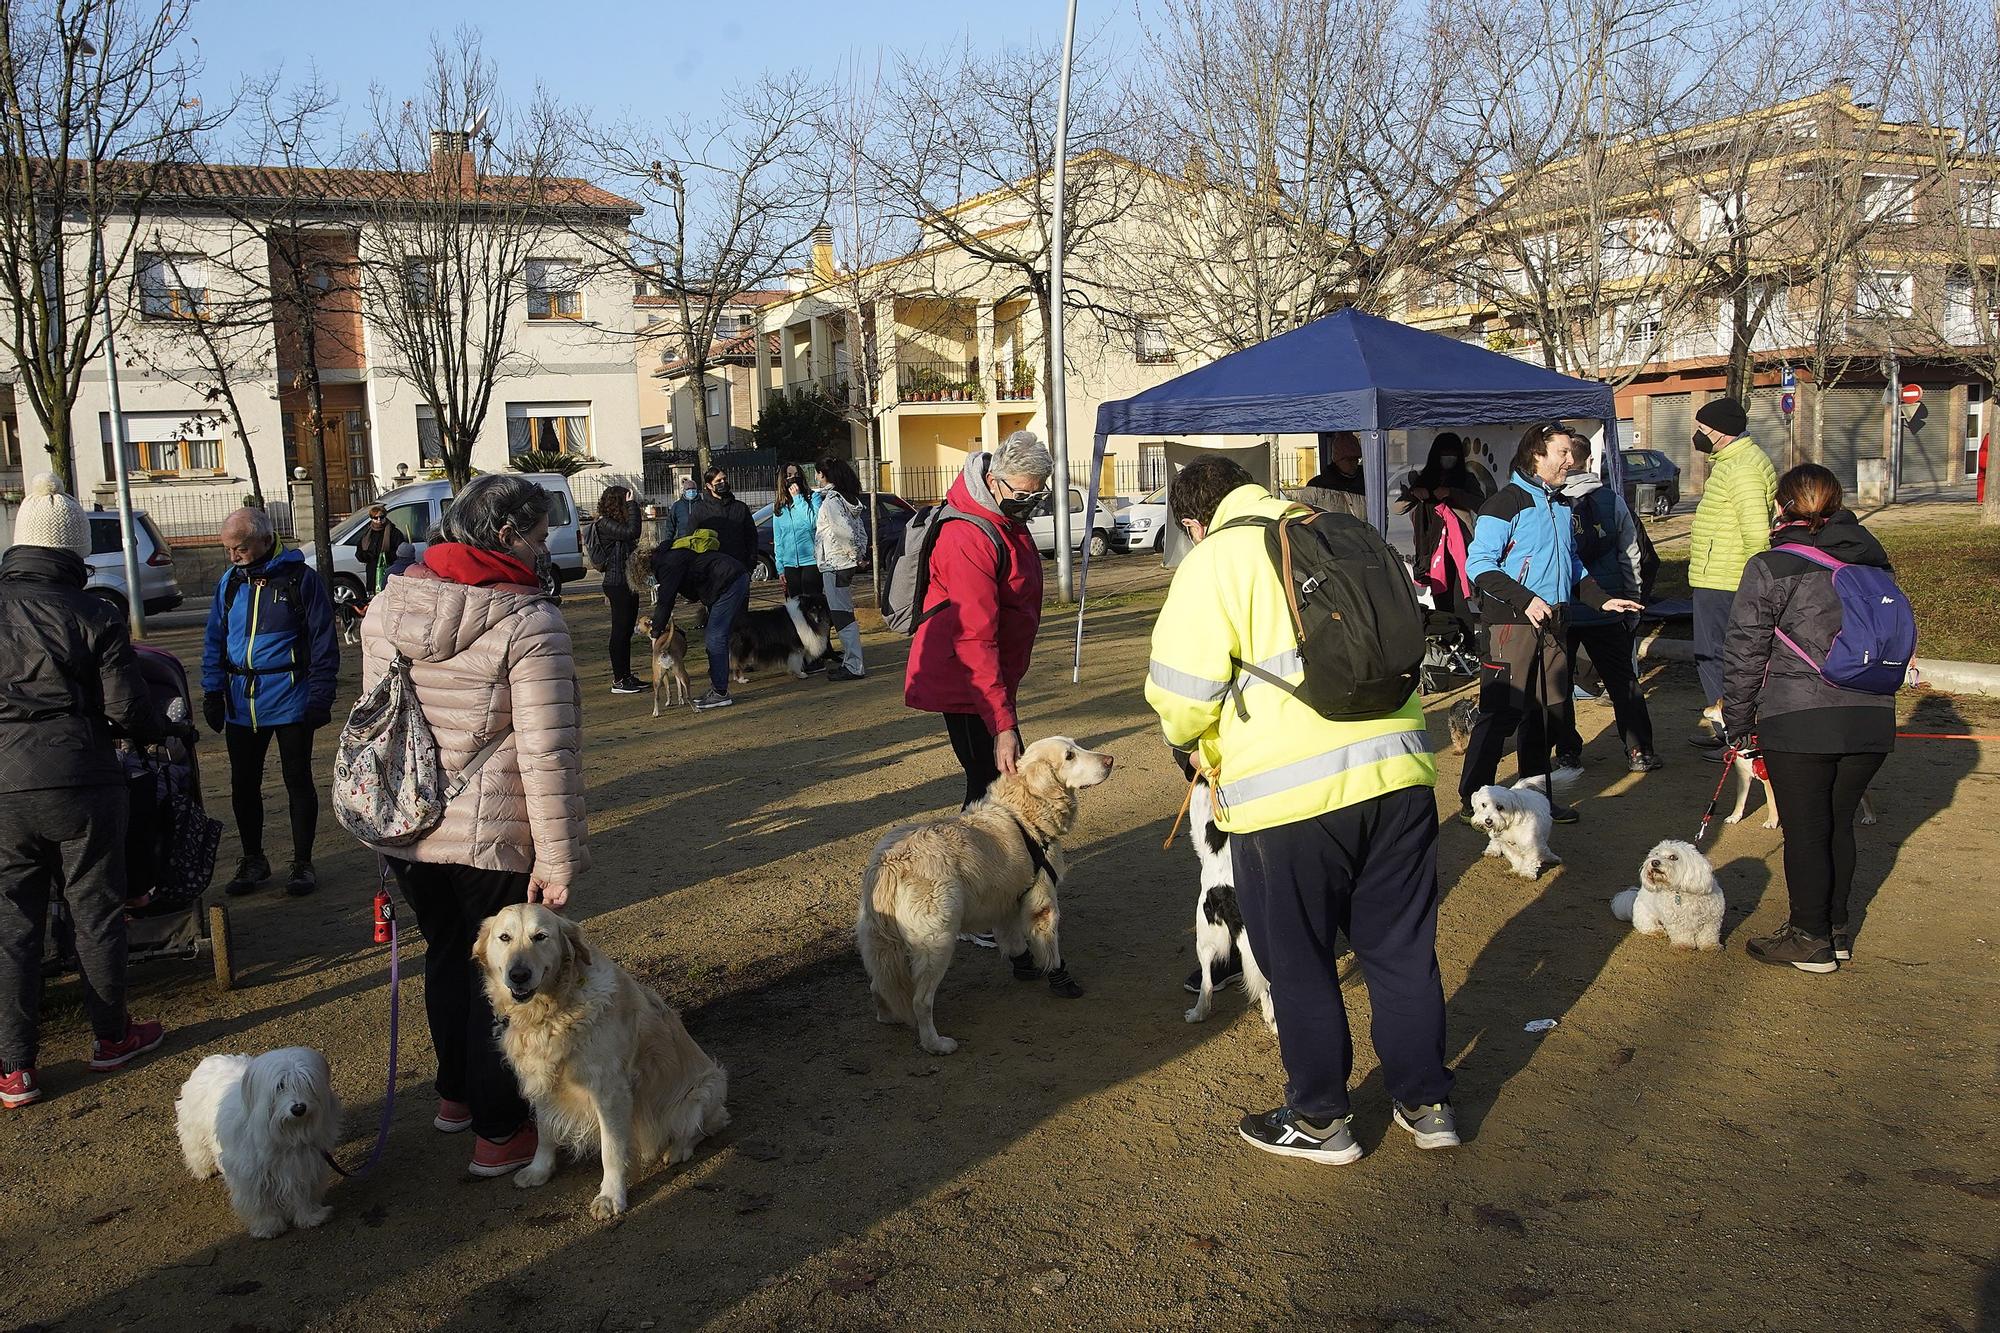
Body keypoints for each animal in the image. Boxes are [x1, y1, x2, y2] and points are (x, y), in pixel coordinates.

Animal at [178, 1040, 342, 1232]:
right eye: (280, 1086)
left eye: (307, 1082)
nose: (299, 1108)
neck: (287, 1133)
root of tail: (211, 1059)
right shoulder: (251, 1175)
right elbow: (260, 1202)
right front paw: (268, 1226)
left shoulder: (302, 1166)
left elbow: (303, 1194)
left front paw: (310, 1216)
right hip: (193, 1128)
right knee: (196, 1148)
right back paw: (204, 1169)